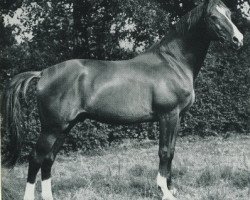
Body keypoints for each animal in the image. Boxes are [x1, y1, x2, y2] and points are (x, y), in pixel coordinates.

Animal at [0, 0, 243, 200]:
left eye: (229, 13)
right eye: (213, 16)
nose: (238, 39)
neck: (173, 62)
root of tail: (43, 73)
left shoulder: (177, 118)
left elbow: (172, 150)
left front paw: (171, 188)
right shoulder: (168, 115)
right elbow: (165, 151)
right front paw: (164, 191)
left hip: (65, 127)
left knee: (48, 159)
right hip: (51, 127)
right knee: (36, 158)